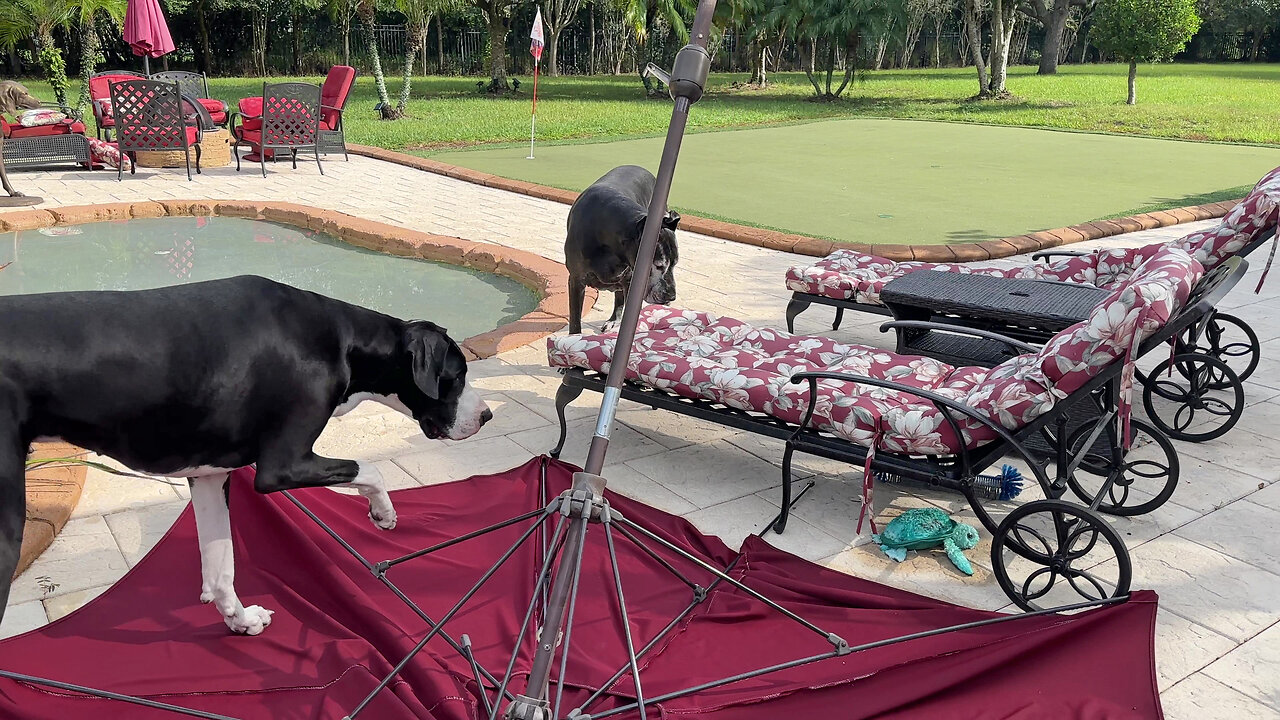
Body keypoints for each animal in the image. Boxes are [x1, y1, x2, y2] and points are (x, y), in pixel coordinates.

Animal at [0, 278, 488, 630]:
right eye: (457, 373)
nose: (485, 416)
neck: (342, 338)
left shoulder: (210, 475)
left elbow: (221, 566)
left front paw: (240, 619)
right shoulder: (283, 467)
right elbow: (369, 468)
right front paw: (384, 512)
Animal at [563, 163, 680, 333]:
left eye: (675, 264)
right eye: (659, 265)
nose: (671, 297)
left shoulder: (630, 281)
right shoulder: (576, 279)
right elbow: (575, 320)